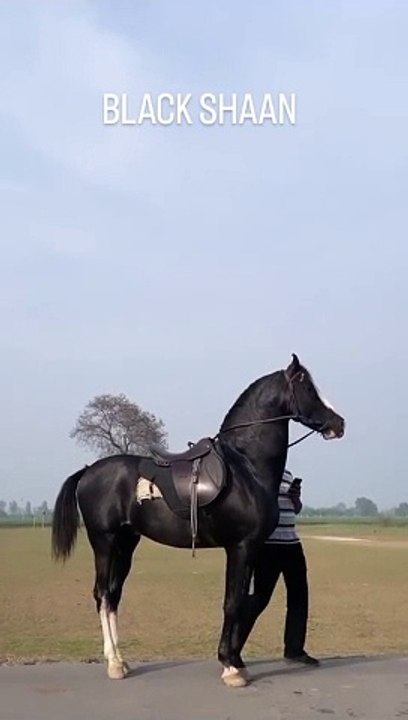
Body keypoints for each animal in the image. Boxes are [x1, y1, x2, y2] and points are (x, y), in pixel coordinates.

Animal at [51, 353, 345, 687]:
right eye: (308, 388)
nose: (339, 423)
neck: (245, 466)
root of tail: (88, 471)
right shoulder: (241, 547)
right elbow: (233, 603)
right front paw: (231, 667)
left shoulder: (251, 549)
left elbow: (242, 601)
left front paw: (235, 661)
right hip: (105, 543)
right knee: (102, 594)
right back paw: (113, 663)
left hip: (126, 544)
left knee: (113, 596)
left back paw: (121, 661)